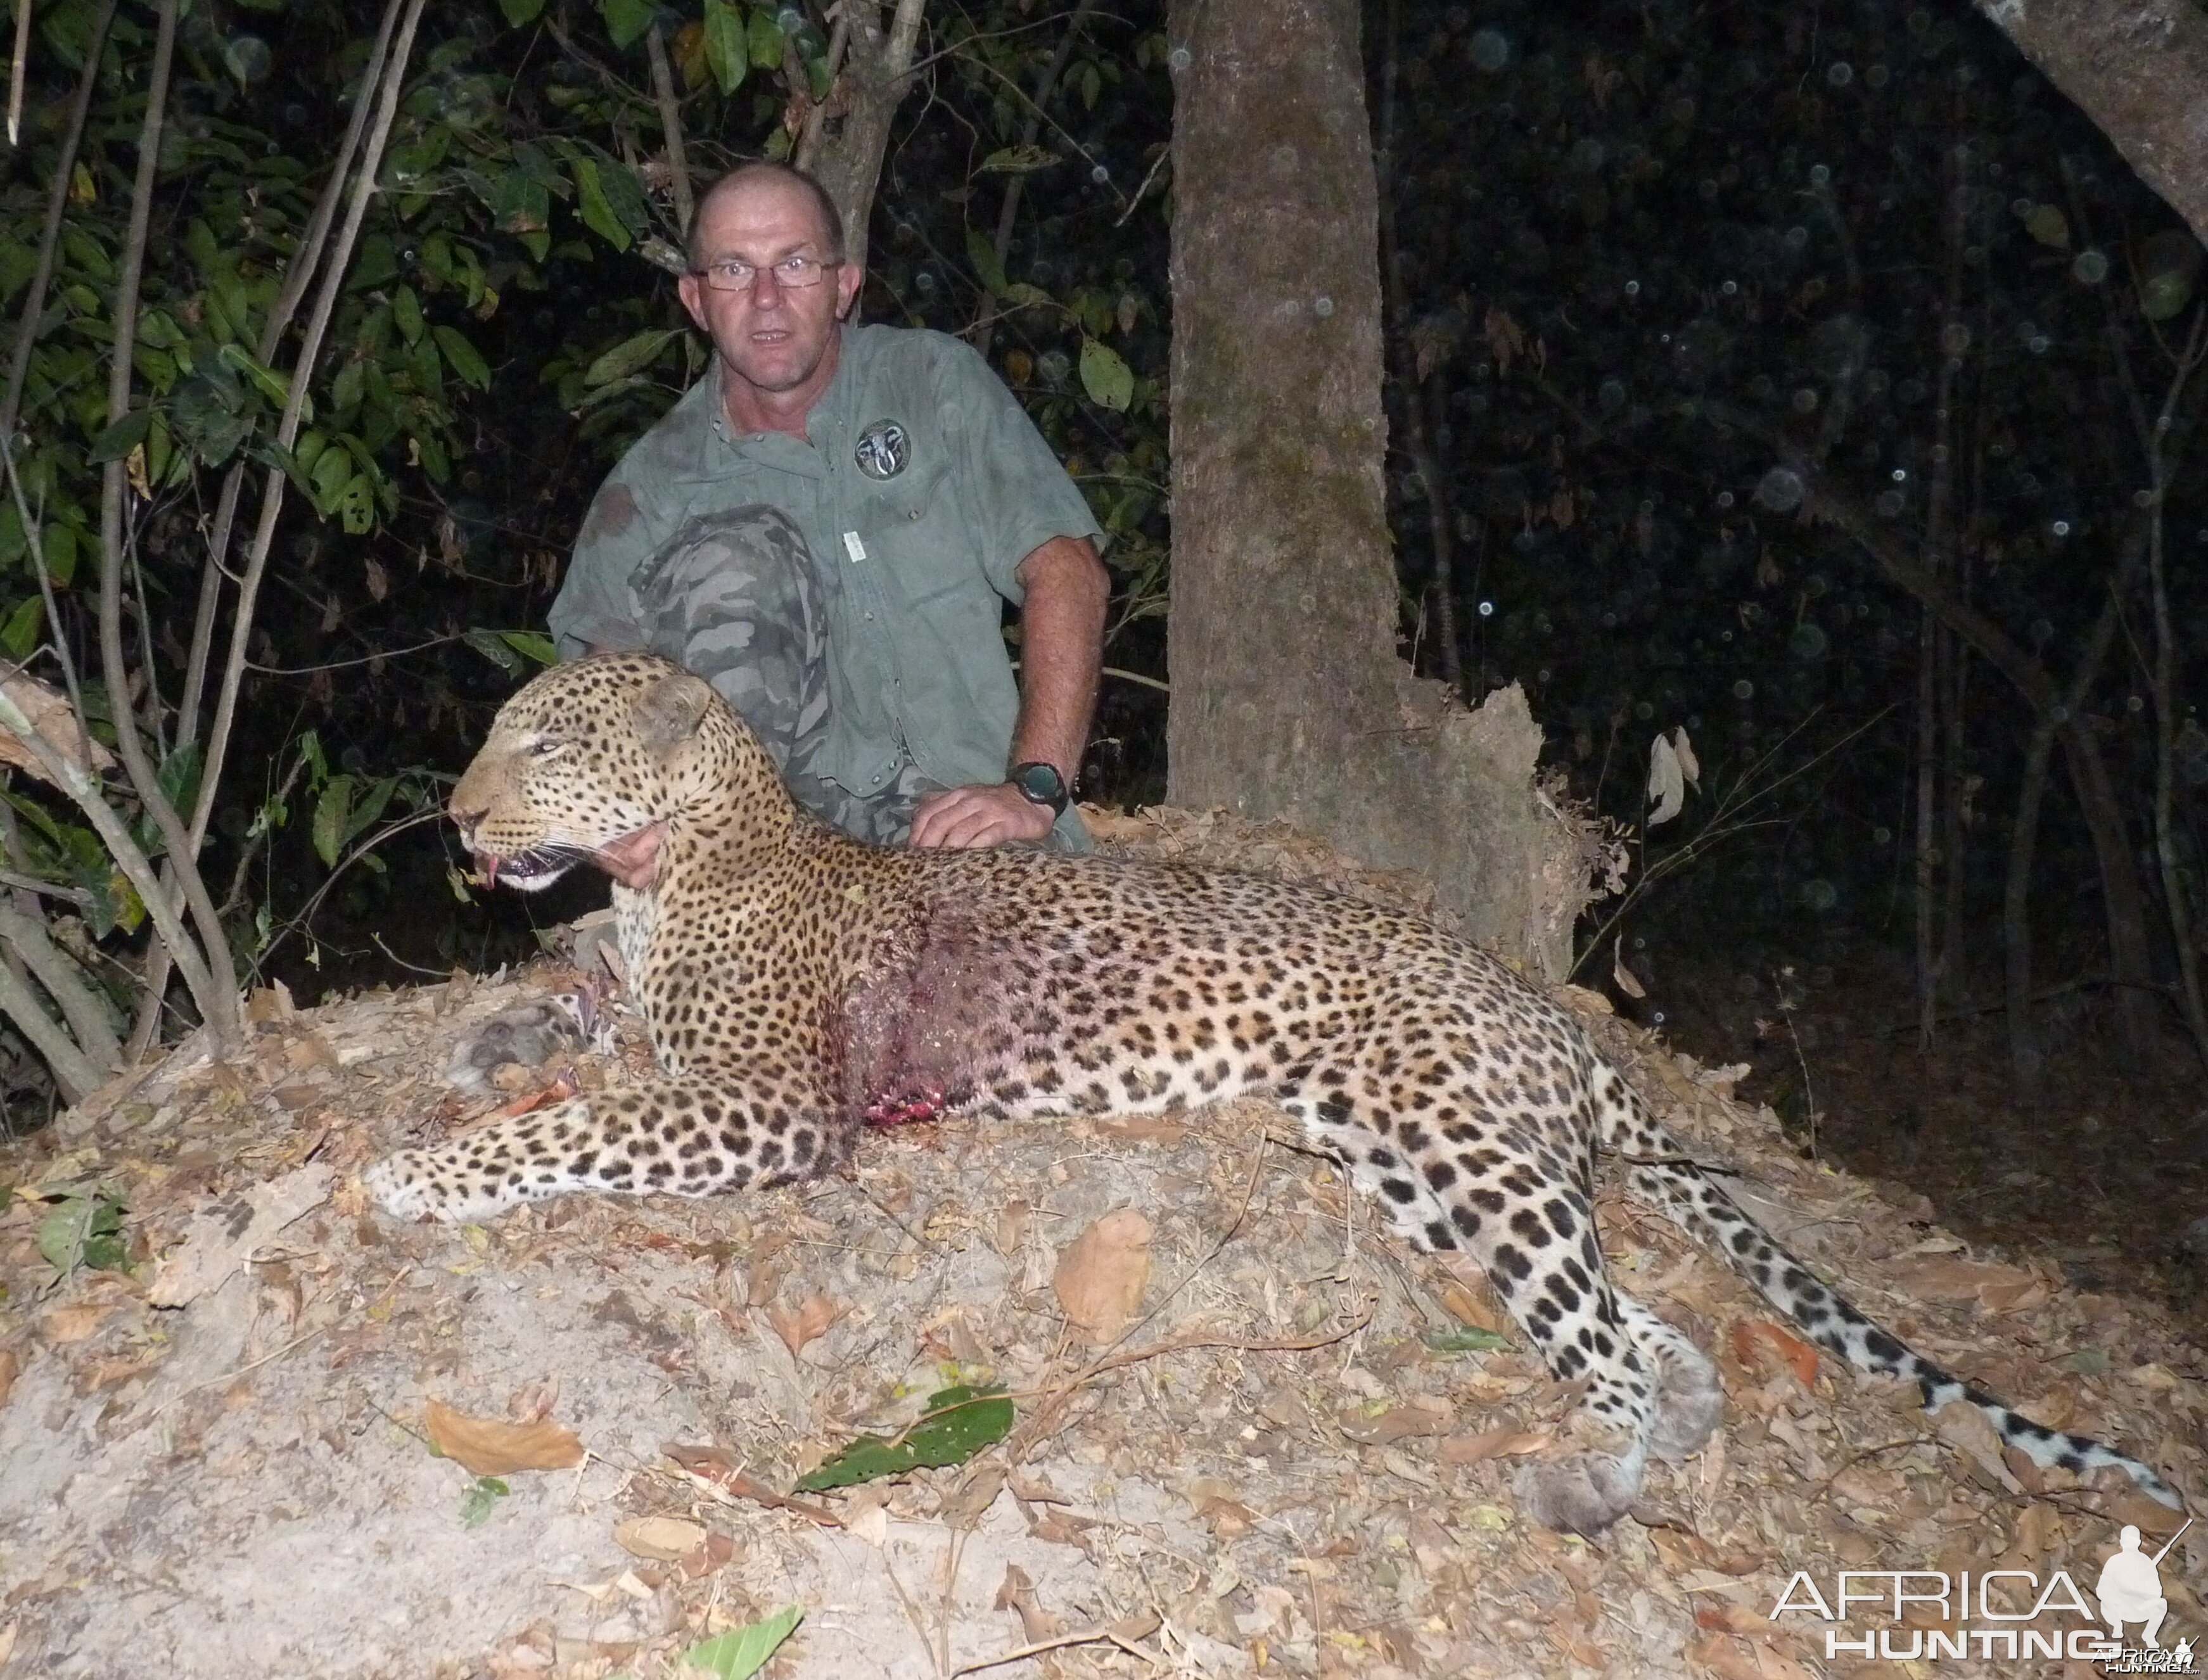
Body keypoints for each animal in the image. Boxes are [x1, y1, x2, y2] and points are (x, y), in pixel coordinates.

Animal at [362, 653, 2173, 1536]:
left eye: (540, 742)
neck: (677, 868)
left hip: (1454, 1145)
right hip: (1408, 1160)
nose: (458, 819)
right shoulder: (663, 1033)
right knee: (1648, 1322)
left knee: (1603, 1337)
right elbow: (573, 1030)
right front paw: (489, 1045)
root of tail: (1538, 1000)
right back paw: (1669, 1435)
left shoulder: (762, 1100)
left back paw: (1587, 1485)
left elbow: (580, 1126)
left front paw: (415, 1176)